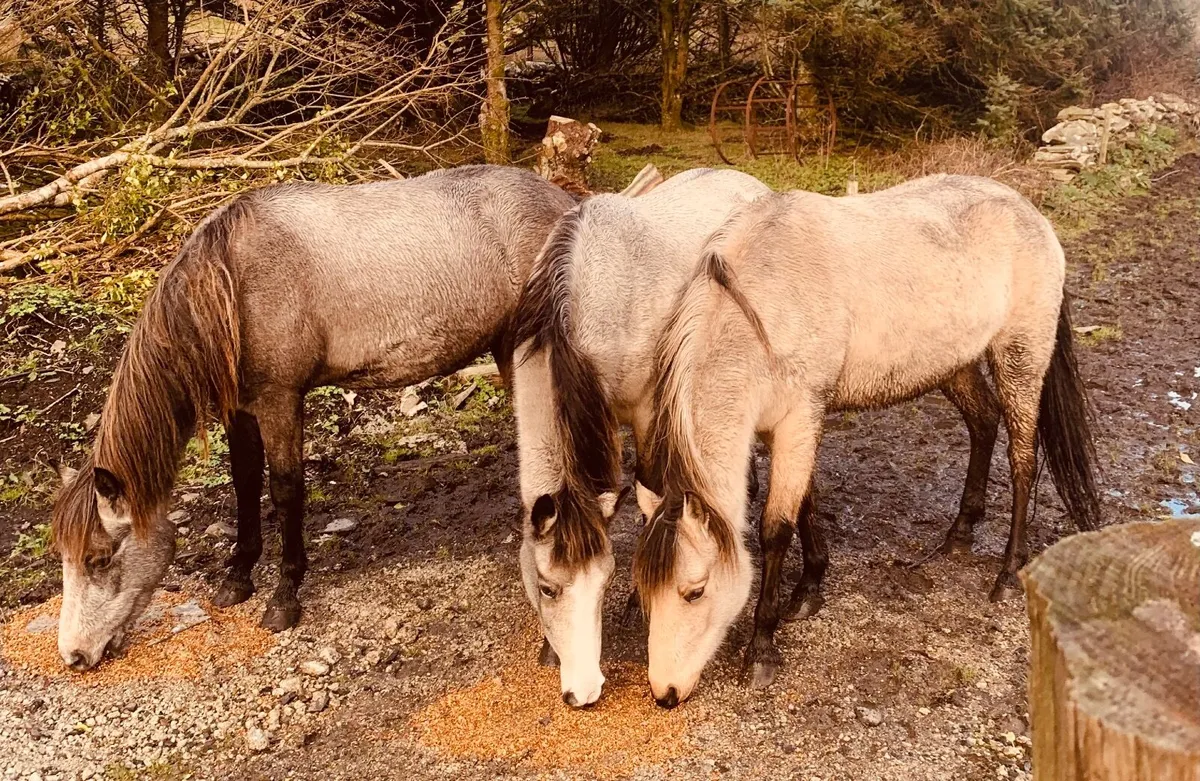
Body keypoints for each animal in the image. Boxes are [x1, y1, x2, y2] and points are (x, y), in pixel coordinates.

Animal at [49, 164, 605, 671]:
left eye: (99, 558)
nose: (74, 656)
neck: (233, 279)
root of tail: (569, 204)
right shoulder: (240, 408)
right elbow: (245, 483)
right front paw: (237, 577)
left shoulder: (280, 400)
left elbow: (285, 490)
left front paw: (284, 596)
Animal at [633, 174, 1102, 707]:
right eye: (645, 593)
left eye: (694, 591)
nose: (665, 692)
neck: (759, 307)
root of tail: (1030, 213)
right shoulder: (786, 427)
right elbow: (806, 503)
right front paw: (809, 589)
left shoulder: (799, 418)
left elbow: (776, 529)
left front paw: (762, 649)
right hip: (955, 363)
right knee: (983, 424)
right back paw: (958, 535)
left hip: (1021, 356)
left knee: (1021, 457)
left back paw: (1007, 574)